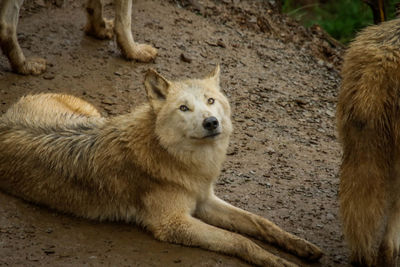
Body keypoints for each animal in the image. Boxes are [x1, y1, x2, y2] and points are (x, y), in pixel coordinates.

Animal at [0, 0, 157, 75]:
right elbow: (125, 17)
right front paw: (133, 51)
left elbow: (94, 6)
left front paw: (98, 28)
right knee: (7, 24)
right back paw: (26, 64)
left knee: (4, 25)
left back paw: (22, 66)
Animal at [0, 67, 322, 267]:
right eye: (184, 108)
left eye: (210, 101)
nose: (211, 122)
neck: (177, 158)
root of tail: (6, 117)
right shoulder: (173, 224)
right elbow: (240, 240)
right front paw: (278, 261)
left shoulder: (205, 200)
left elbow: (261, 223)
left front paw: (301, 247)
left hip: (95, 113)